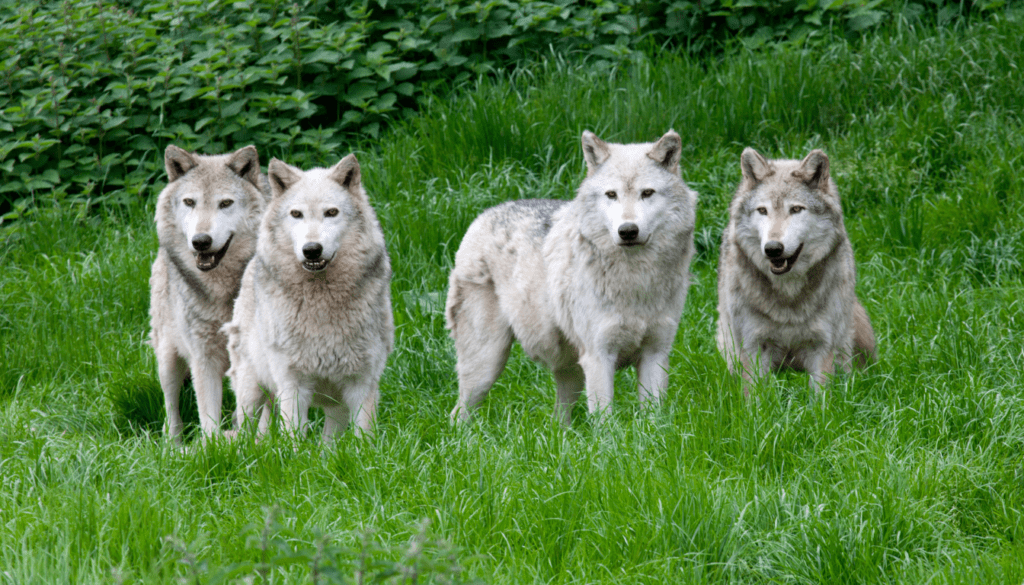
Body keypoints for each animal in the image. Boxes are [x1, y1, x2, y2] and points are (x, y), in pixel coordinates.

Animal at [224, 153, 391, 442]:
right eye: (296, 214)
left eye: (331, 212)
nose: (312, 250)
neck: (320, 301)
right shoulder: (292, 384)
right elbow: (294, 440)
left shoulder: (363, 383)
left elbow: (364, 440)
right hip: (251, 390)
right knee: (245, 434)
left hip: (334, 407)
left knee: (329, 444)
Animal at [716, 147, 876, 393]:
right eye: (762, 210)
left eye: (796, 209)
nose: (773, 249)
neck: (788, 295)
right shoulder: (753, 347)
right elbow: (755, 398)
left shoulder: (822, 347)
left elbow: (821, 398)